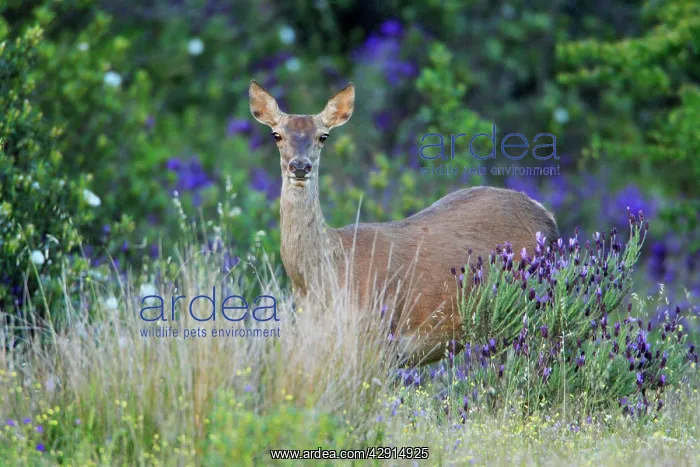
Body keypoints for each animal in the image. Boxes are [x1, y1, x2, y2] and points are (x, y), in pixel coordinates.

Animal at [249, 80, 560, 364]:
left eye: (323, 136)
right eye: (276, 135)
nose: (300, 166)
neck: (322, 276)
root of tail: (547, 216)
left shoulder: (379, 335)